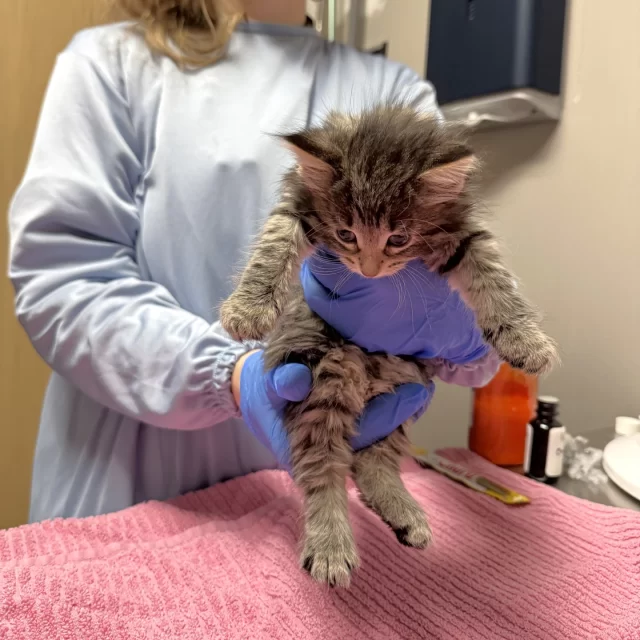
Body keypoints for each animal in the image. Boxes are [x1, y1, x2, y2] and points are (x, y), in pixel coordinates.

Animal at [219, 104, 556, 584]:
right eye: (346, 235)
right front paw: (248, 307)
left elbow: (496, 278)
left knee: (370, 461)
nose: (370, 269)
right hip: (326, 373)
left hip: (407, 389)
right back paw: (330, 544)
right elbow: (271, 247)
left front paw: (525, 338)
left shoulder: (466, 234)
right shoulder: (295, 208)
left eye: (398, 239)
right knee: (324, 469)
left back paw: (401, 513)